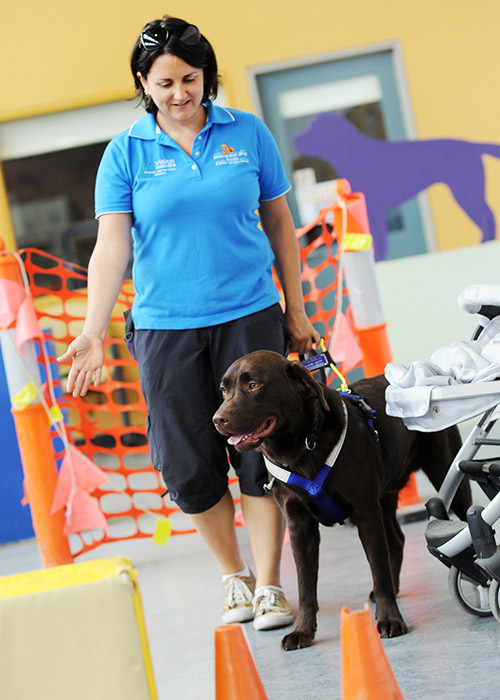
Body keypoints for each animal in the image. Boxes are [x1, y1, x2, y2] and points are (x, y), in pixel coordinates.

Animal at [213, 350, 470, 652]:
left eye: (253, 385)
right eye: (224, 390)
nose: (217, 419)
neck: (302, 447)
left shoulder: (366, 514)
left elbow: (378, 569)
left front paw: (389, 619)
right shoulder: (300, 526)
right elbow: (305, 584)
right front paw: (302, 631)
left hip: (447, 475)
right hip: (385, 497)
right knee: (396, 540)